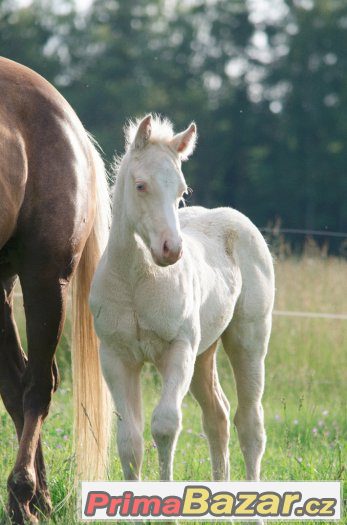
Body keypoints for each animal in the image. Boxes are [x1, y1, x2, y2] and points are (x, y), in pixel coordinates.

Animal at [91, 116, 276, 486]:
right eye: (141, 185)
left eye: (182, 191)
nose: (171, 249)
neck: (136, 280)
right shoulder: (116, 357)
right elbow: (129, 440)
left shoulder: (178, 349)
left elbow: (165, 425)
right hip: (204, 353)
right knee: (217, 416)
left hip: (247, 342)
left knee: (249, 423)